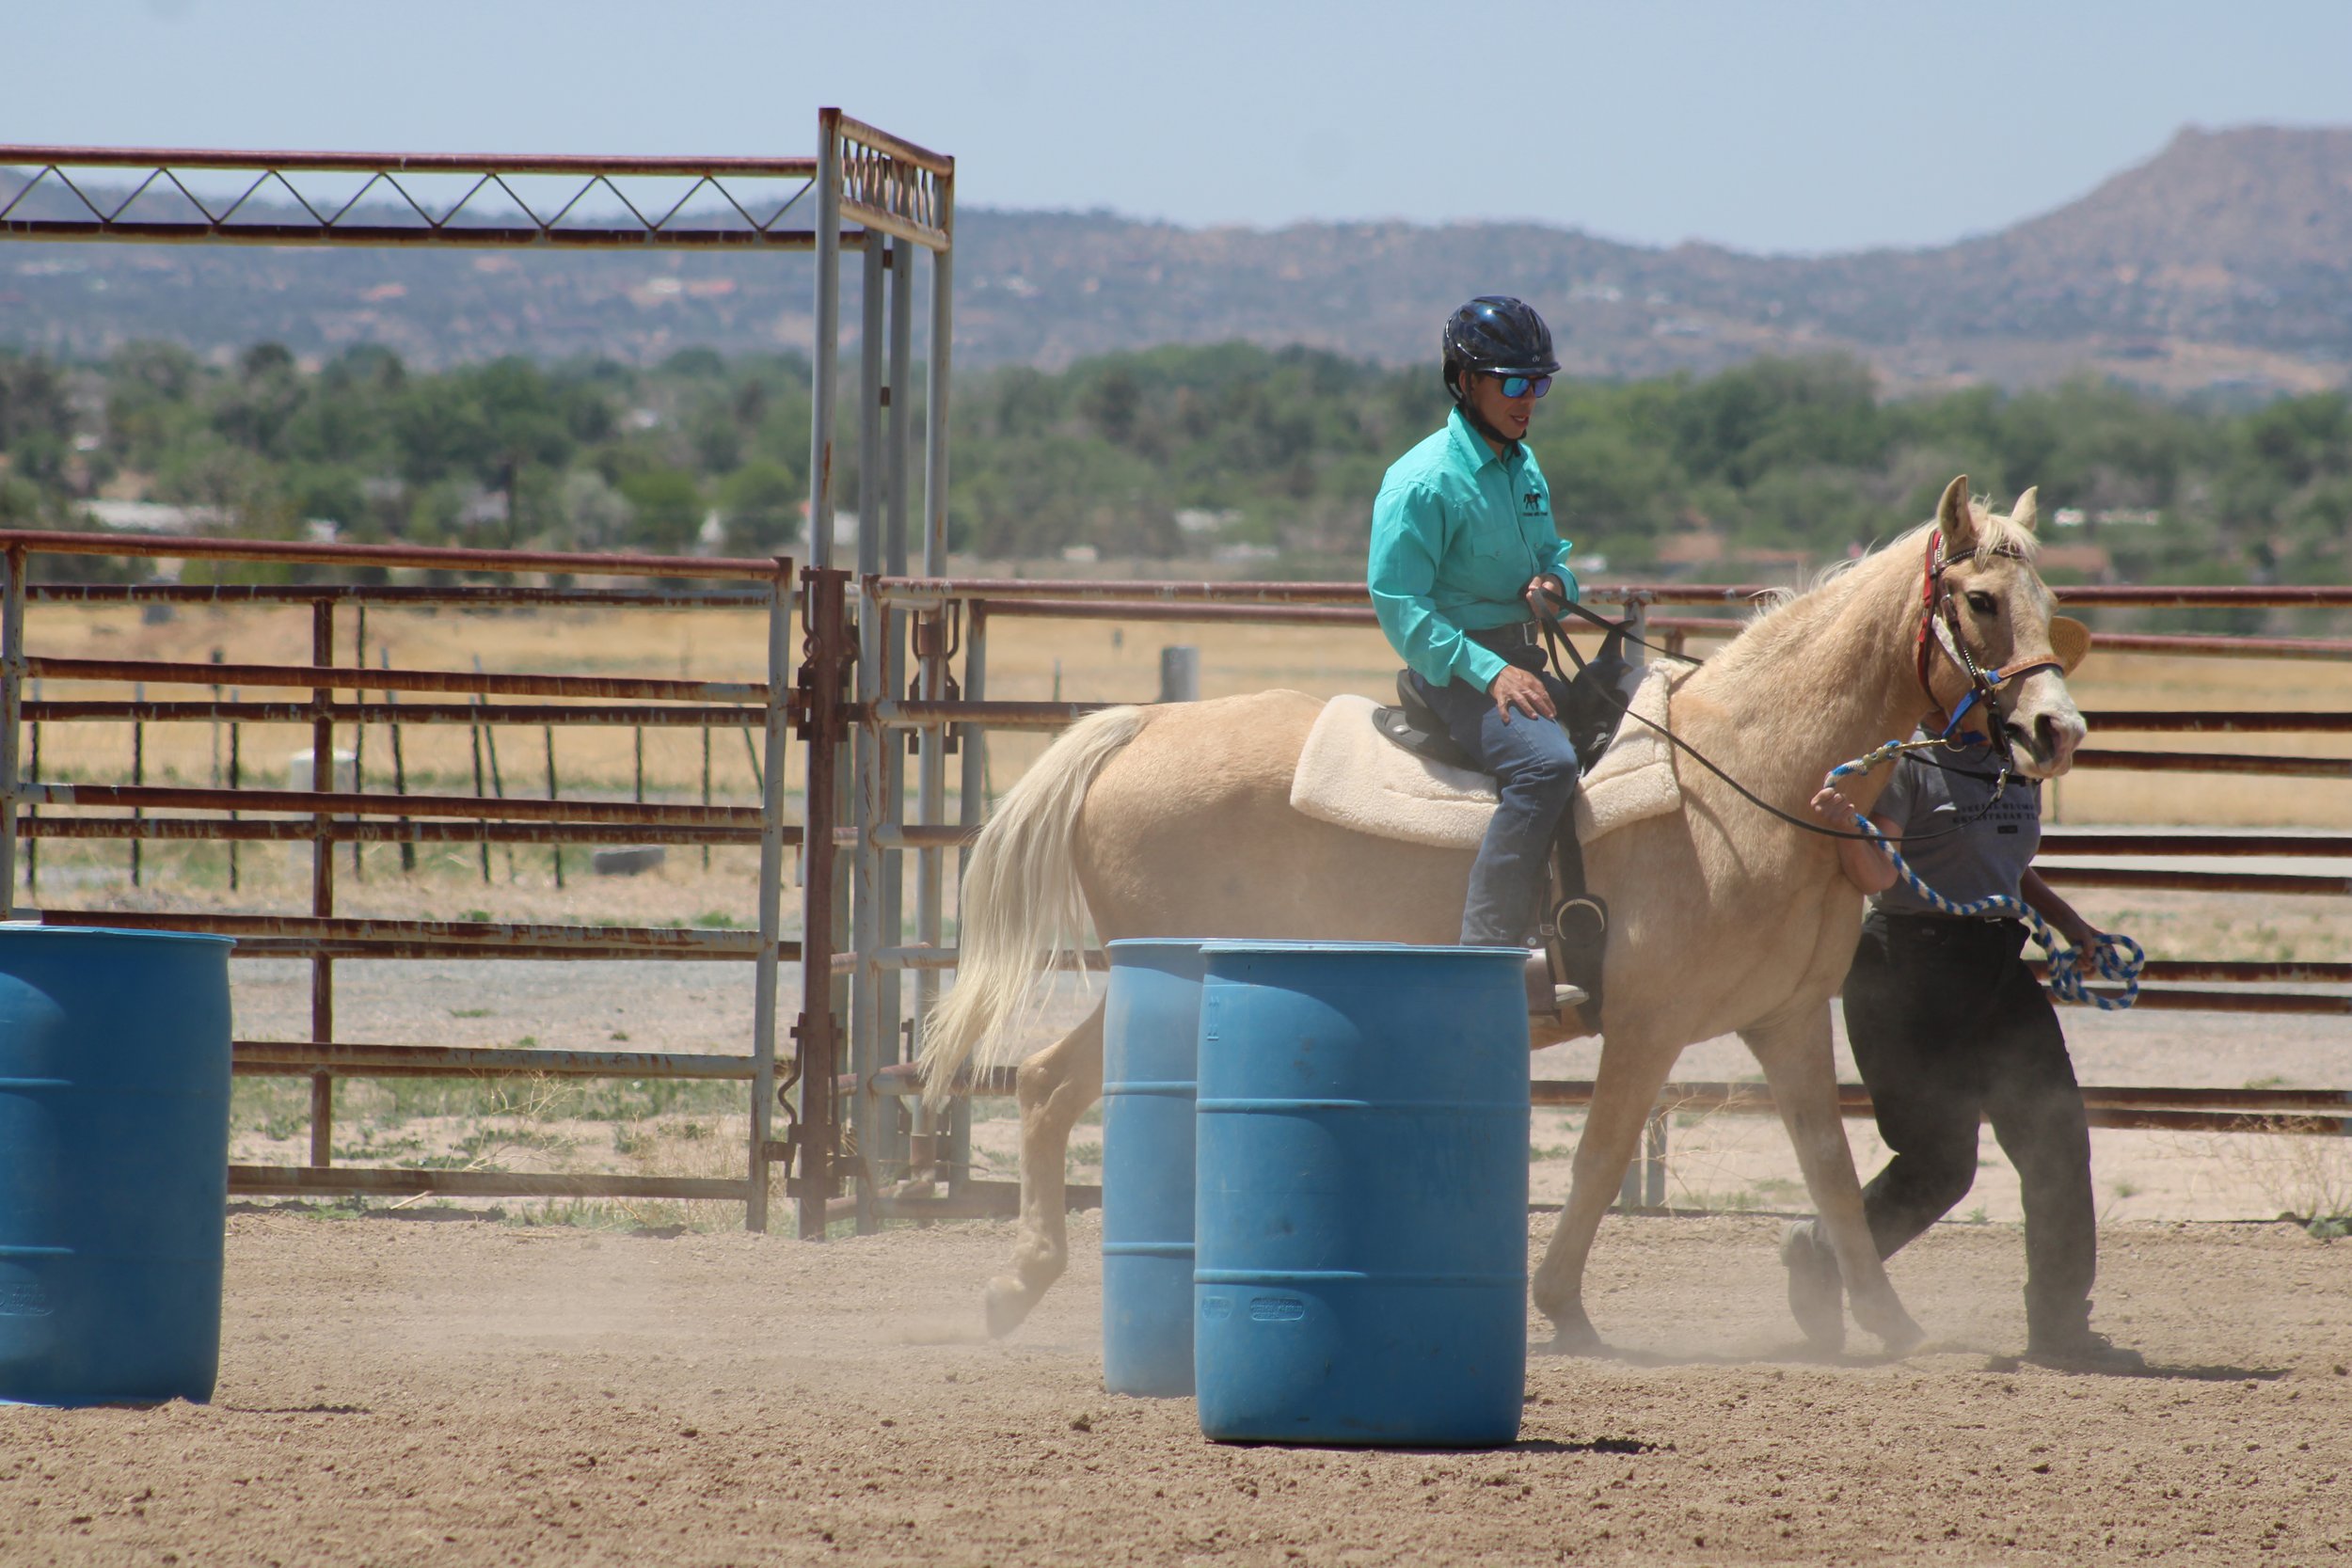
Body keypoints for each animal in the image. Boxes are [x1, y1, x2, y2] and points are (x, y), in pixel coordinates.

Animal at [927, 472, 2089, 1354]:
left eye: (2048, 597)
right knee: (1051, 1085)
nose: (2057, 729)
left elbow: (1833, 1177)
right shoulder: (1649, 1023)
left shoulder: (1789, 1020)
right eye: (1981, 601)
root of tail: (1138, 728)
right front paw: (1562, 1308)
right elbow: (1600, 1159)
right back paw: (1023, 1282)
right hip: (1161, 977)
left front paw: (1889, 1325)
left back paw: (1020, 1284)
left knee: (1043, 1082)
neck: (1745, 776)